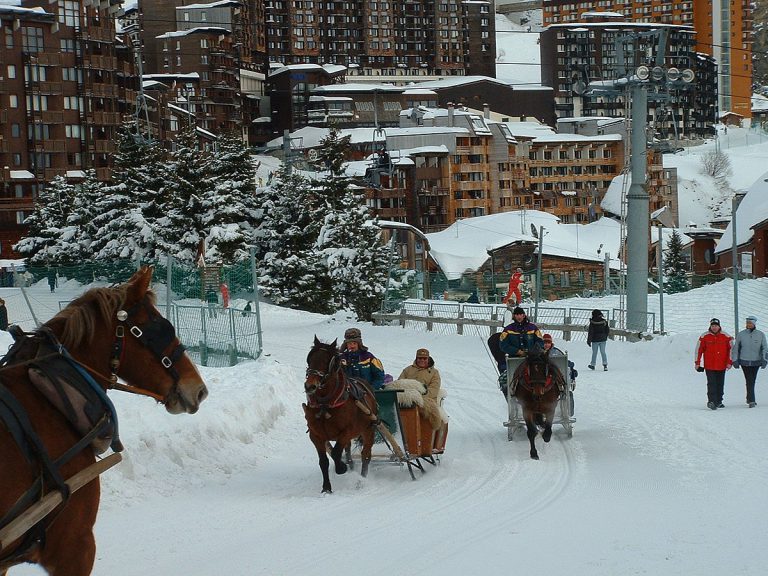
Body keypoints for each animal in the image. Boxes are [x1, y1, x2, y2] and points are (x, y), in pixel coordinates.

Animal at [304, 338, 380, 496]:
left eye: (328, 361)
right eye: (310, 358)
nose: (310, 386)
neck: (326, 404)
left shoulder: (346, 432)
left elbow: (336, 453)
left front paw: (341, 468)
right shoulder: (315, 435)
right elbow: (324, 461)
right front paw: (326, 488)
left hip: (369, 429)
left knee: (366, 455)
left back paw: (361, 480)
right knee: (349, 451)